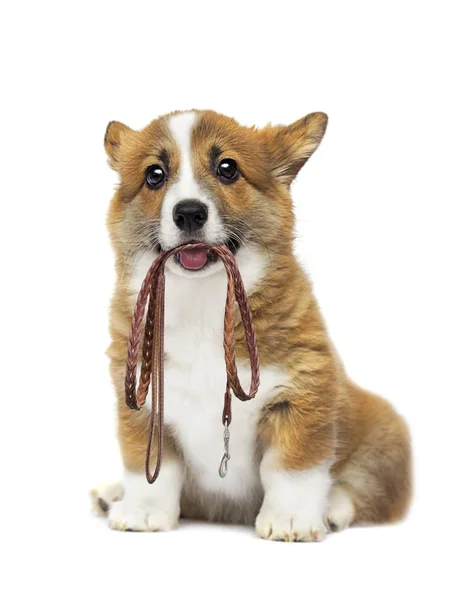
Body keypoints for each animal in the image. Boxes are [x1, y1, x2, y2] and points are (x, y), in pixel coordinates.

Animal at [92, 110, 414, 540]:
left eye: (227, 169)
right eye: (154, 175)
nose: (189, 212)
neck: (205, 301)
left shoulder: (302, 398)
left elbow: (291, 468)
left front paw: (291, 519)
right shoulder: (142, 405)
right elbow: (151, 470)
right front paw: (143, 511)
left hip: (385, 437)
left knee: (366, 488)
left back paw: (333, 507)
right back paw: (112, 493)